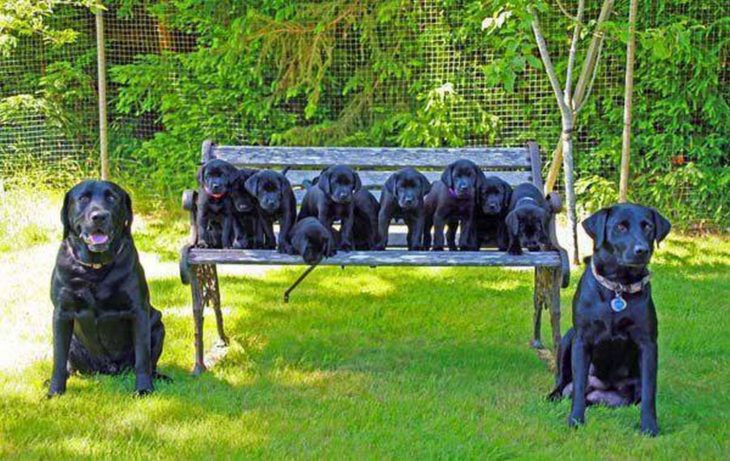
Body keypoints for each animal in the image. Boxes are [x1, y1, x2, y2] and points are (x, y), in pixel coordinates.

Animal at [49, 180, 166, 396]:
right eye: (83, 198)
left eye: (112, 197)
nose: (99, 216)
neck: (95, 269)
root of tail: (109, 370)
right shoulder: (62, 313)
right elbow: (58, 359)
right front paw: (55, 391)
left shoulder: (139, 311)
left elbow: (143, 358)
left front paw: (143, 388)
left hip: (158, 326)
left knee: (150, 362)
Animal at [548, 202, 668, 434]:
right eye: (620, 227)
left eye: (648, 226)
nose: (642, 250)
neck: (618, 288)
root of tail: (600, 394)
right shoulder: (582, 340)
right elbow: (577, 385)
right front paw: (575, 420)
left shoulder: (648, 344)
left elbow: (649, 390)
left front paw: (649, 426)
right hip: (568, 338)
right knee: (564, 381)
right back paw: (554, 395)